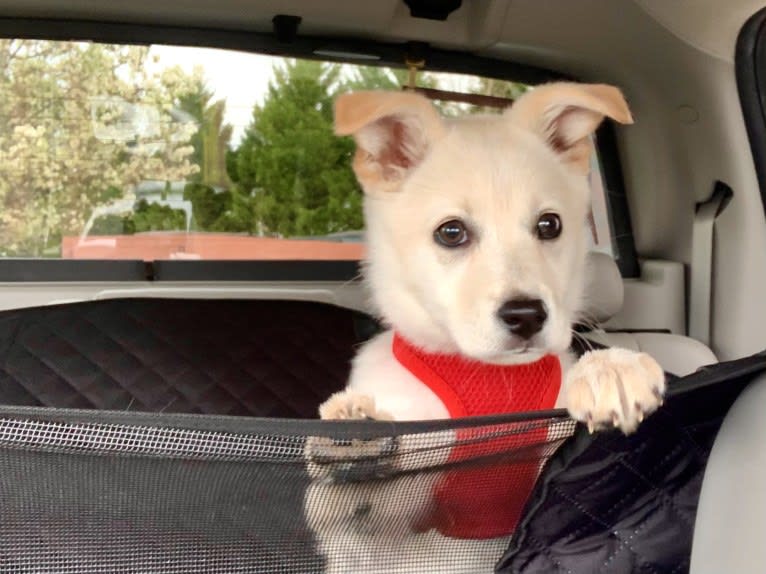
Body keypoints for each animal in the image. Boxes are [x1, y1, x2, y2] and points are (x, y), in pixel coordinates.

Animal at [306, 83, 664, 572]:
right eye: (451, 232)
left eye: (549, 224)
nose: (526, 315)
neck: (489, 376)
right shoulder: (381, 535)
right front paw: (353, 437)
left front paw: (611, 369)